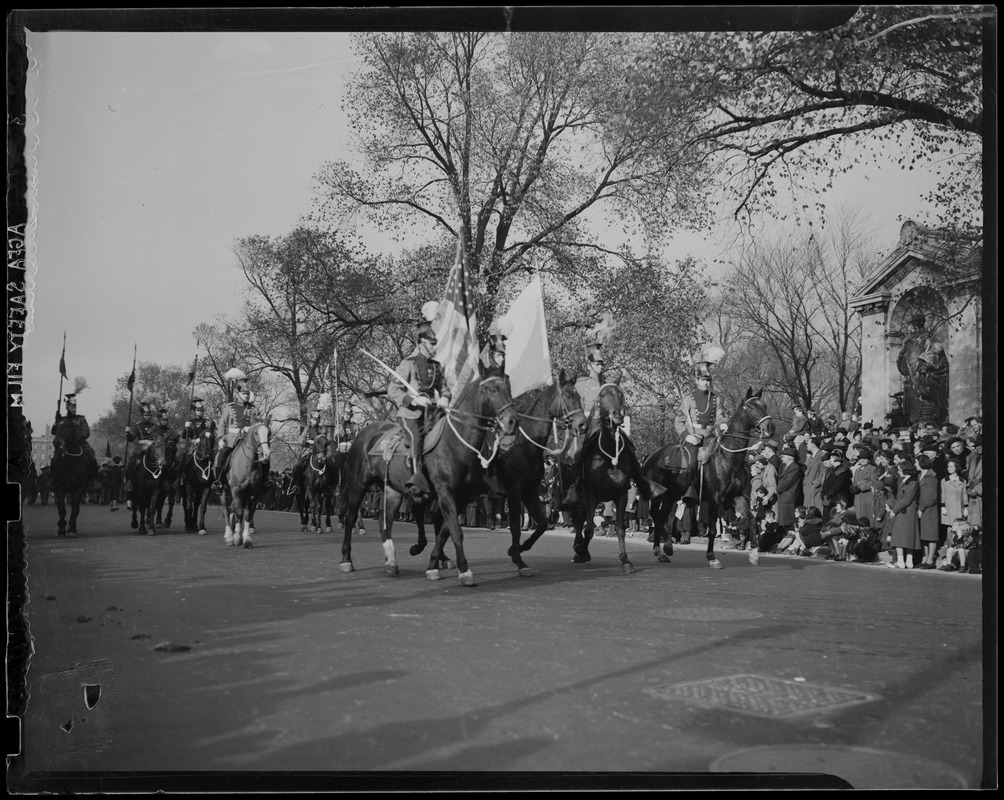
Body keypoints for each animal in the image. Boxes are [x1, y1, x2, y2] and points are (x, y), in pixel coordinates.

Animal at [343, 359, 522, 582]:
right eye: (492, 389)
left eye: (509, 387)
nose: (512, 421)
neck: (456, 443)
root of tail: (365, 433)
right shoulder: (444, 493)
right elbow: (454, 530)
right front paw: (464, 570)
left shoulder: (460, 497)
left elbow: (444, 530)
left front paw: (434, 564)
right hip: (358, 484)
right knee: (350, 516)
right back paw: (347, 559)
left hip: (393, 490)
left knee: (386, 520)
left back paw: (392, 561)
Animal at [485, 367, 586, 574]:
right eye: (567, 395)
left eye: (578, 396)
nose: (582, 424)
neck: (525, 443)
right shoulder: (515, 491)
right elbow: (516, 526)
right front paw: (518, 559)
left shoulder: (530, 490)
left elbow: (541, 524)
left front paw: (516, 549)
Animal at [566, 377, 642, 570]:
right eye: (602, 395)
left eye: (621, 394)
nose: (617, 415)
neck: (609, 455)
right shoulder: (591, 495)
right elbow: (588, 529)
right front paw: (581, 551)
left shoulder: (622, 496)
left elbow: (621, 529)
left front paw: (625, 560)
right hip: (578, 496)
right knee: (578, 519)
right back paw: (578, 548)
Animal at [642, 387, 775, 566]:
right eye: (752, 406)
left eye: (765, 405)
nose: (770, 428)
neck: (728, 458)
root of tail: (651, 456)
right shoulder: (714, 499)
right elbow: (712, 530)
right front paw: (712, 557)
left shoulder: (735, 496)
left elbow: (752, 521)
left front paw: (754, 554)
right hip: (659, 495)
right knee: (657, 516)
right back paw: (667, 546)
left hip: (671, 495)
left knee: (660, 517)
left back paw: (660, 551)